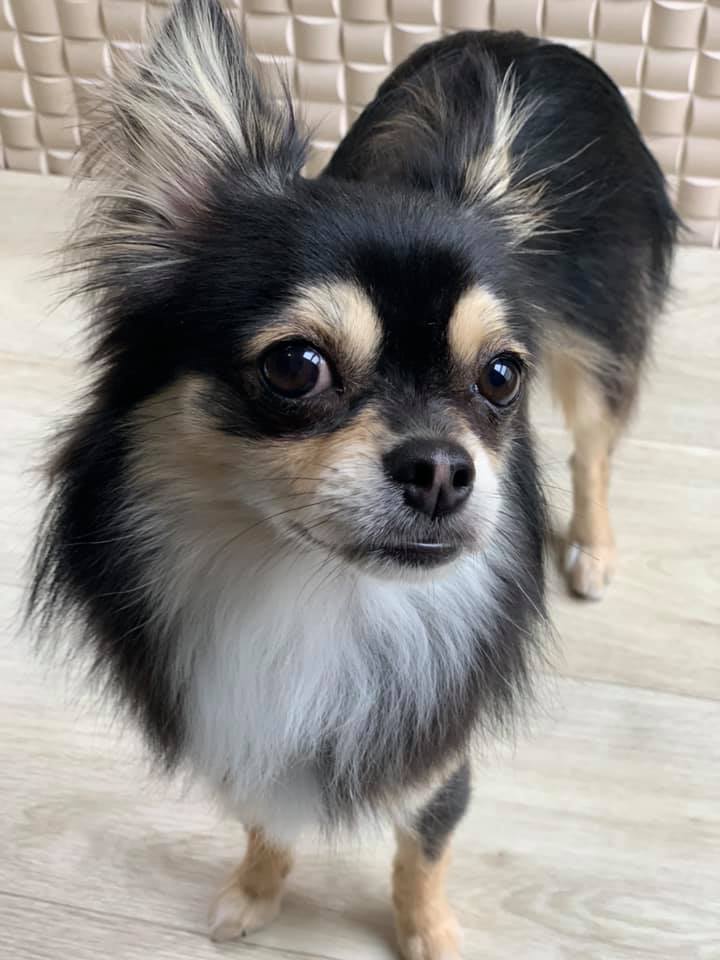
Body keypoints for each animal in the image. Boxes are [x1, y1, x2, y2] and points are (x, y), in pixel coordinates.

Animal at [28, 2, 676, 957]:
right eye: (295, 367)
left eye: (501, 377)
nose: (443, 468)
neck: (318, 593)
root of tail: (529, 40)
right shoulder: (248, 736)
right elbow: (267, 824)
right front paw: (254, 893)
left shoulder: (438, 758)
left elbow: (421, 855)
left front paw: (427, 933)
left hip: (599, 346)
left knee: (592, 448)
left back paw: (591, 547)